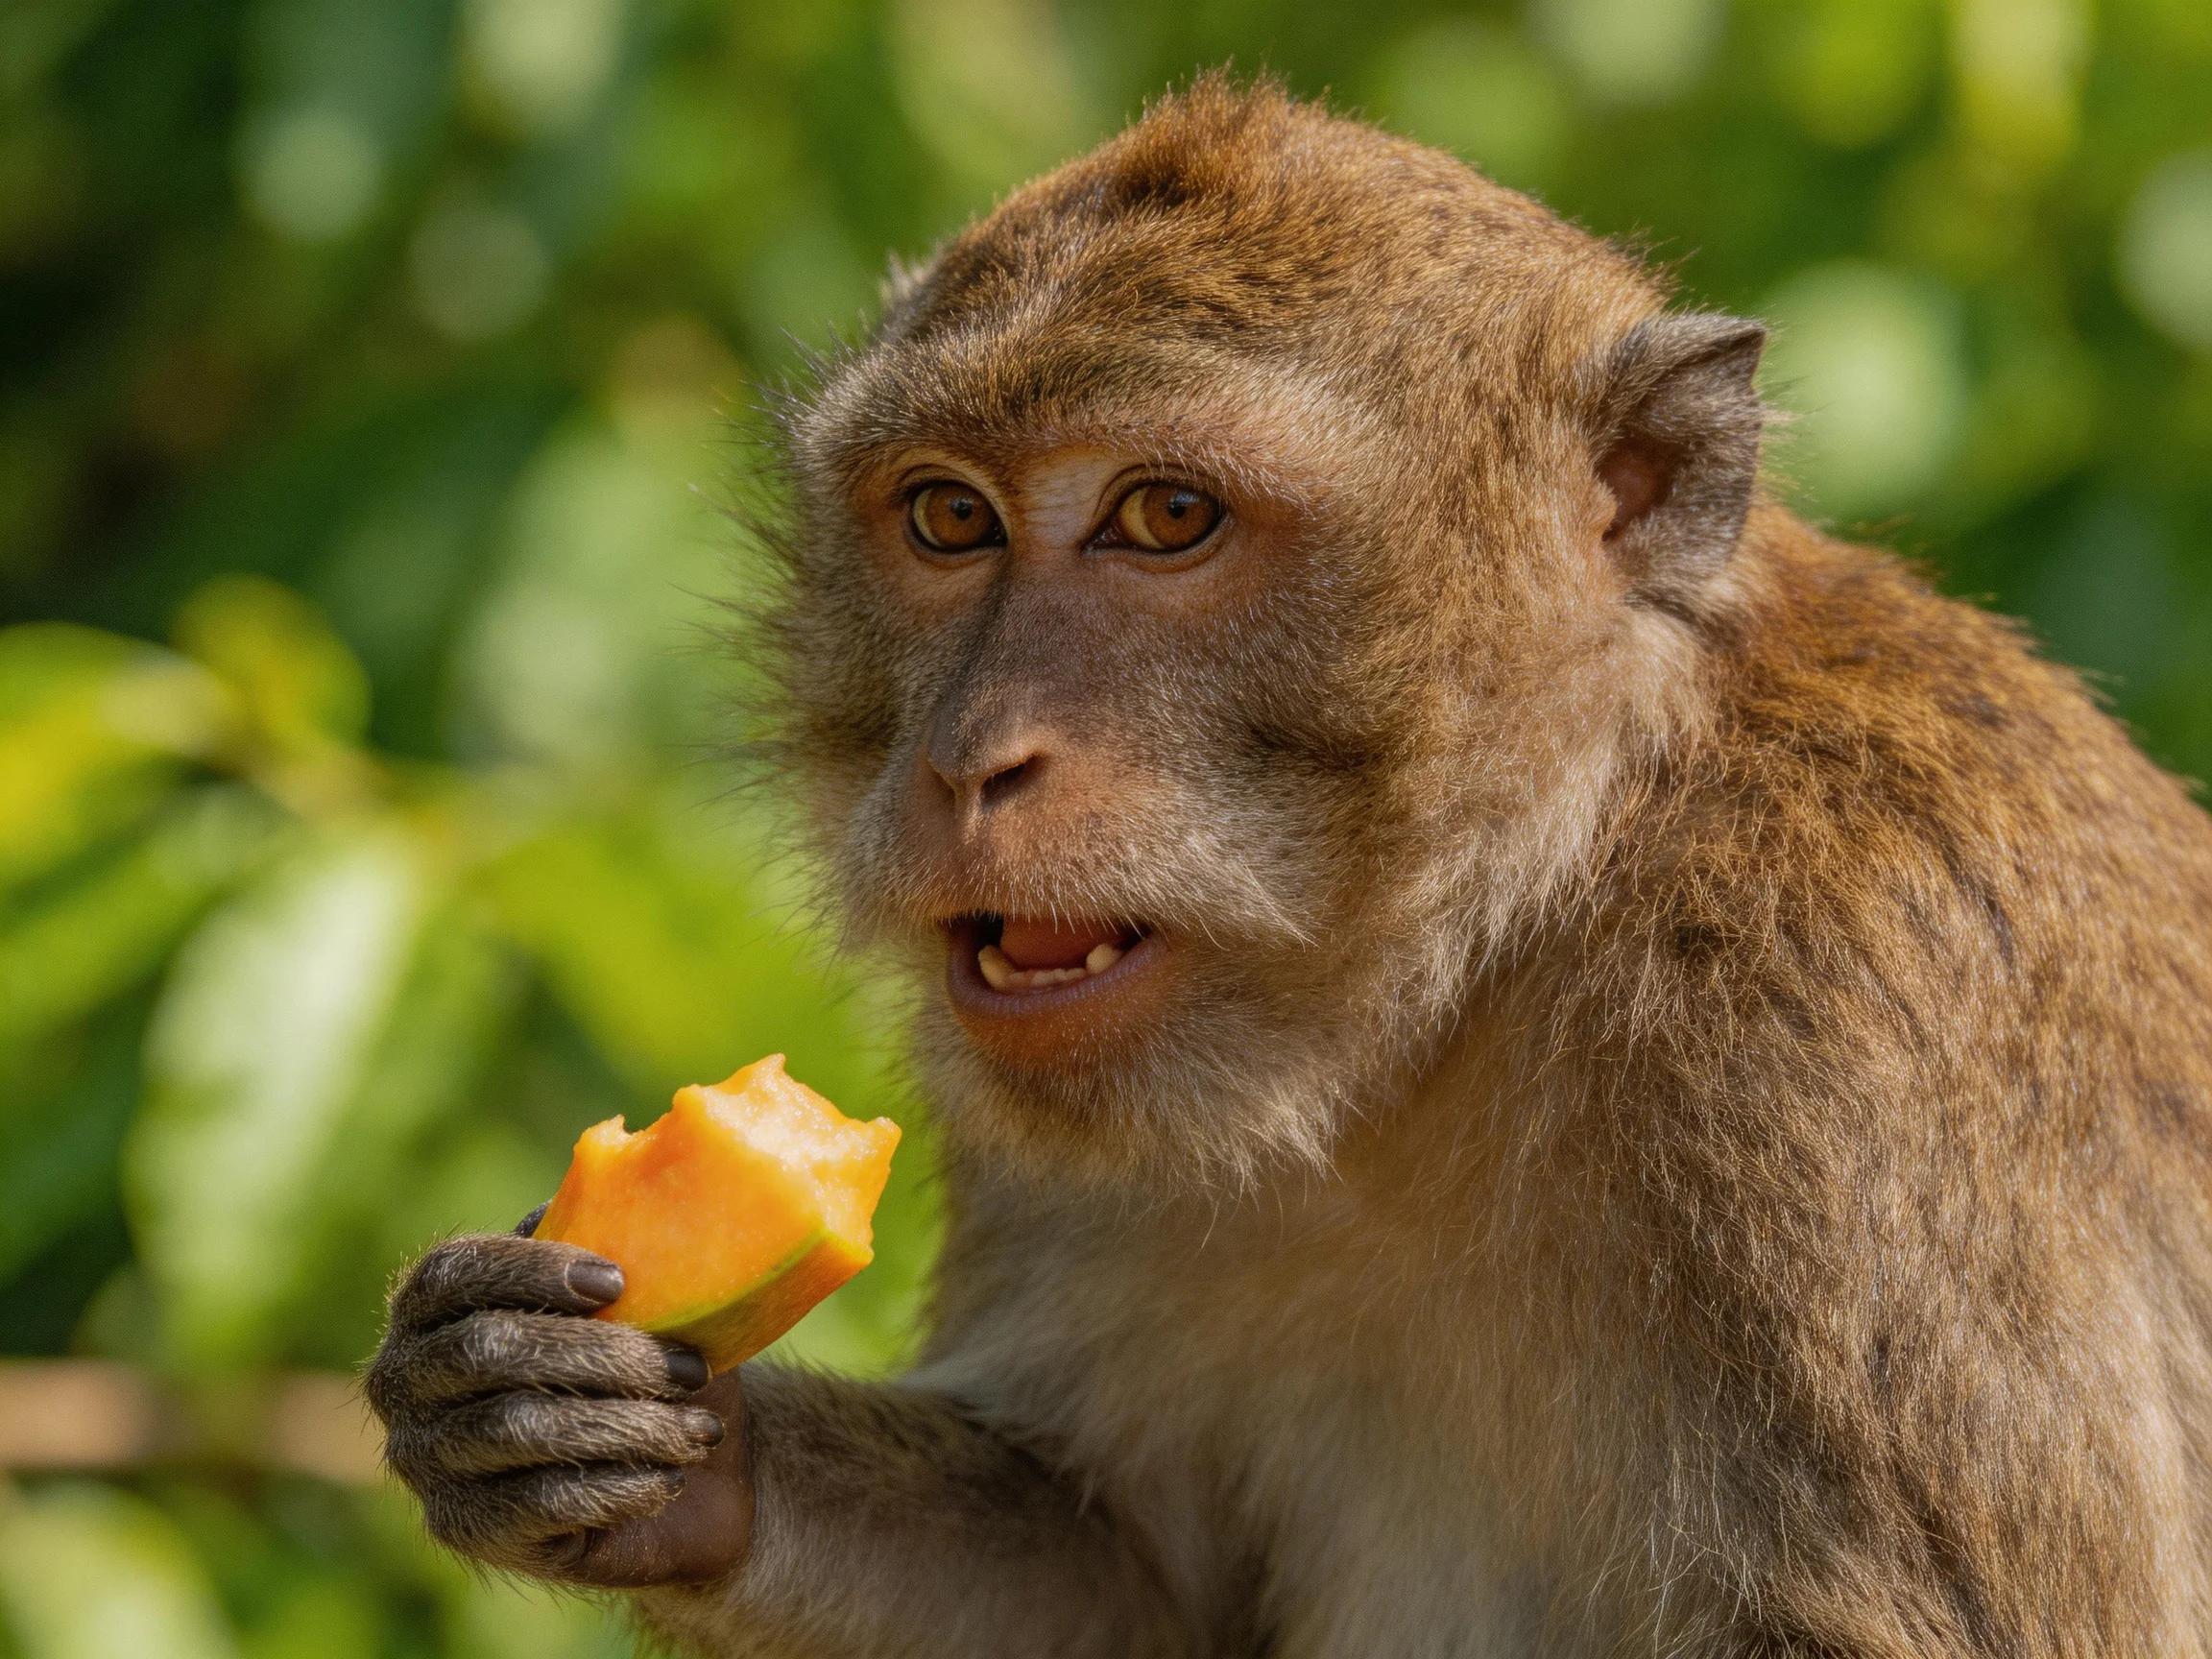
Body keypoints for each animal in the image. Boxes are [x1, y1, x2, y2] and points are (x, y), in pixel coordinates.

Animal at [367, 75, 2212, 1655]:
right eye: (949, 518)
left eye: (1165, 516)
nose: (973, 757)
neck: (1500, 950)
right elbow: (1130, 1574)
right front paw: (598, 1430)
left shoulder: (1849, 1034)